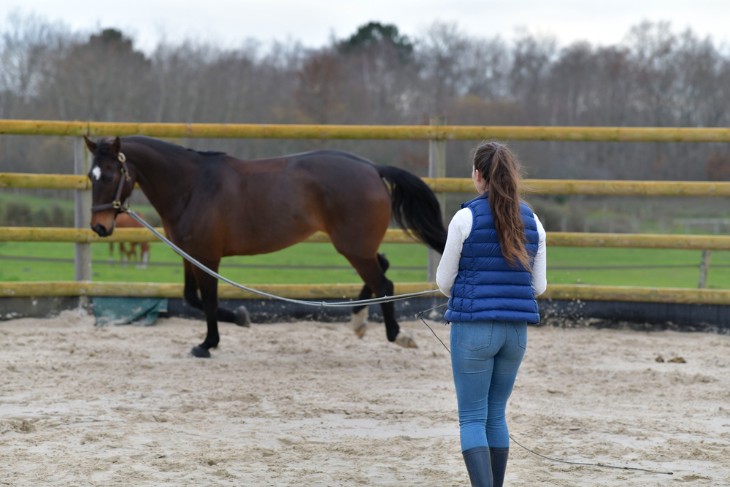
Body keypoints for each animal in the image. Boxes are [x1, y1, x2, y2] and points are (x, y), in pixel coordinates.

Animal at [79, 136, 444, 358]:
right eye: (90, 176)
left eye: (110, 175)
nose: (100, 227)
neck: (192, 186)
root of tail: (371, 168)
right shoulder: (189, 255)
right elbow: (191, 298)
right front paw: (239, 318)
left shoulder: (208, 256)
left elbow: (208, 300)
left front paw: (208, 343)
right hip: (357, 245)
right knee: (381, 269)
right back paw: (358, 322)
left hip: (352, 246)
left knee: (384, 282)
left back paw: (397, 334)